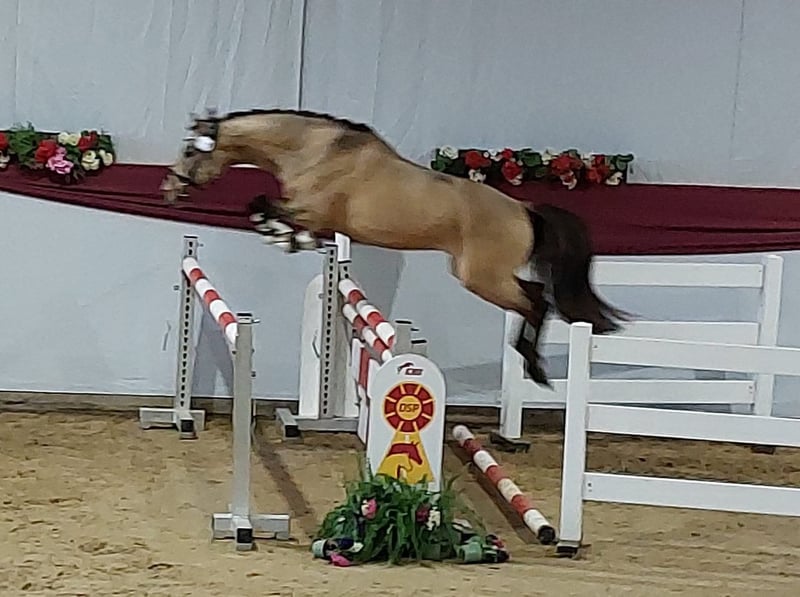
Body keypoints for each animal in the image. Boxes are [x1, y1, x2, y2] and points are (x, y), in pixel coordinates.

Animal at [160, 108, 626, 386]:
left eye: (191, 151)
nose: (168, 188)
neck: (313, 150)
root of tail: (525, 209)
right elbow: (262, 208)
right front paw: (288, 237)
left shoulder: (311, 209)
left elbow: (265, 207)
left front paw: (286, 236)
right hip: (486, 276)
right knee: (534, 296)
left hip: (481, 278)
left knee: (536, 302)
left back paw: (534, 365)